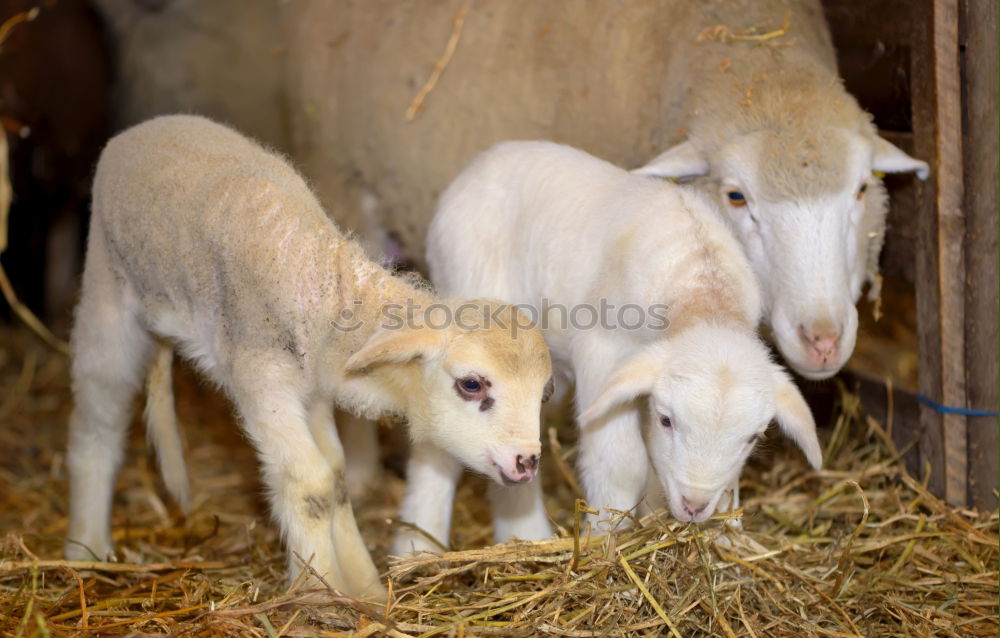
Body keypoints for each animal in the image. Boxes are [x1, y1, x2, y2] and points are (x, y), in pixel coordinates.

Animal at [68, 117, 556, 604]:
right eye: (472, 384)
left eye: (543, 394)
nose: (527, 462)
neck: (318, 277)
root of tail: (148, 126)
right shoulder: (261, 379)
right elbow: (309, 484)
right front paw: (318, 591)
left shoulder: (314, 386)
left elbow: (336, 478)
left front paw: (365, 589)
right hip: (107, 294)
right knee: (97, 421)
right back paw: (87, 546)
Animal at [390, 141, 820, 556]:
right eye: (667, 420)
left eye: (752, 438)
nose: (693, 506)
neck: (702, 284)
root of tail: (483, 161)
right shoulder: (604, 351)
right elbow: (621, 463)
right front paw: (605, 534)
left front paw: (723, 536)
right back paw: (421, 546)